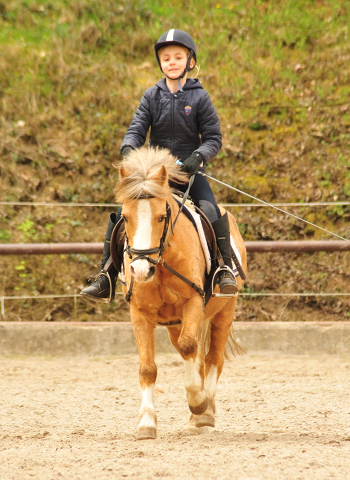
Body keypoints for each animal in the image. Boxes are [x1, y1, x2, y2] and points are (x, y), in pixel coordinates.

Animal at [115, 148, 246, 440]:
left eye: (161, 217)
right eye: (125, 218)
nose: (141, 269)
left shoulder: (193, 302)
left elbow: (191, 349)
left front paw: (198, 402)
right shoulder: (139, 313)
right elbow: (148, 368)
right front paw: (146, 423)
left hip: (224, 312)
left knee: (212, 358)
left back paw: (205, 414)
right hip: (176, 324)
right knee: (196, 357)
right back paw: (195, 419)